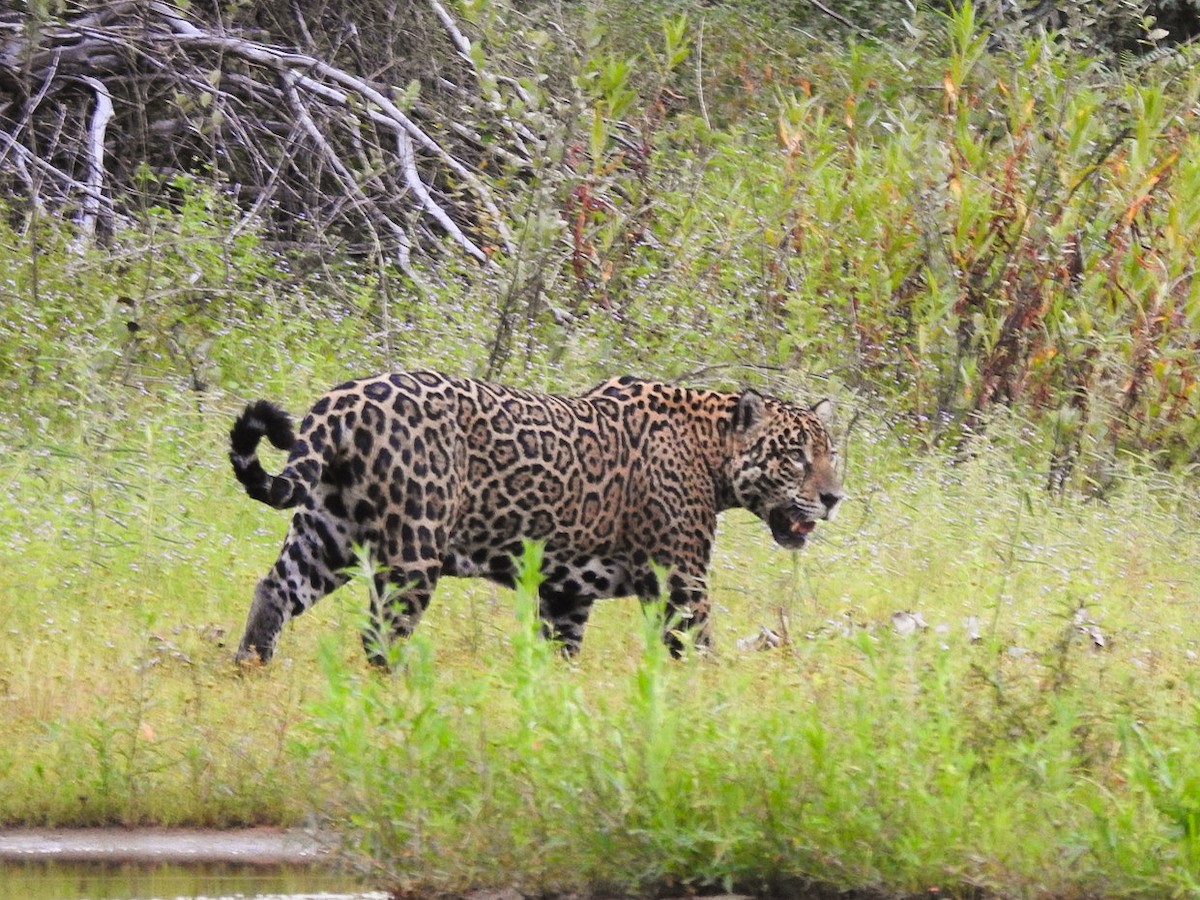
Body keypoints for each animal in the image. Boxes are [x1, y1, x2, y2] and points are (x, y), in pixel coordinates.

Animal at [229, 372, 843, 665]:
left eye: (830, 453)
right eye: (795, 457)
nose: (835, 498)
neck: (712, 451)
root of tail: (342, 399)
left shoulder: (566, 592)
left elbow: (560, 653)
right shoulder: (680, 579)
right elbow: (698, 646)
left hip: (326, 532)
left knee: (274, 590)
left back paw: (250, 668)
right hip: (413, 549)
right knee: (380, 635)